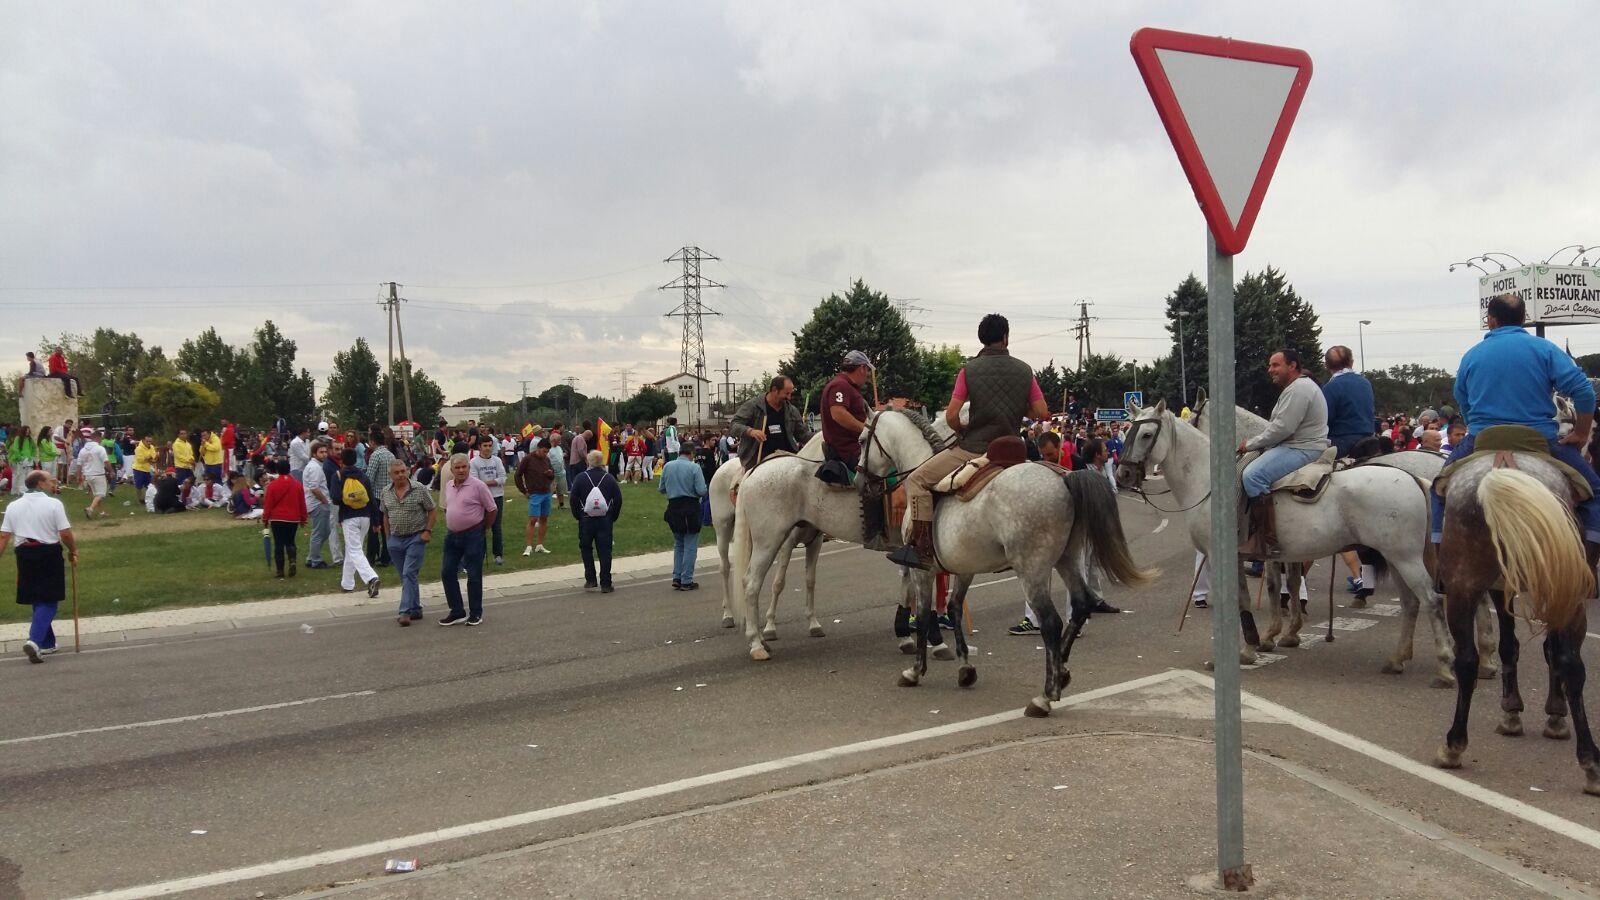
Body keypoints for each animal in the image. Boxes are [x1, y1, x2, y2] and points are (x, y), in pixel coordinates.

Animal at [1120, 398, 1465, 679]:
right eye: (1127, 433)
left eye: (1147, 435)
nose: (1123, 474)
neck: (1210, 482)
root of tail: (1413, 478)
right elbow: (1271, 590)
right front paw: (1265, 642)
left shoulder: (1225, 557)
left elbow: (1253, 597)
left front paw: (1247, 649)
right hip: (1395, 558)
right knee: (1411, 603)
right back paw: (1397, 659)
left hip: (1404, 558)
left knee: (1431, 600)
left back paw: (1446, 665)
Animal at [1433, 448, 1593, 791]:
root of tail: (1503, 467)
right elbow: (1530, 647)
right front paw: (1536, 712)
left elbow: (1515, 646)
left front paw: (1519, 711)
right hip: (1567, 592)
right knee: (1569, 662)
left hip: (1464, 586)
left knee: (1467, 662)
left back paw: (1454, 745)